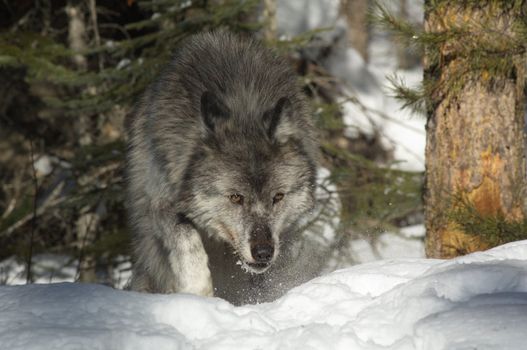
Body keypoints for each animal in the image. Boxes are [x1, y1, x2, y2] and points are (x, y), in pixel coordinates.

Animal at [126, 30, 320, 304]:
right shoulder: (160, 203)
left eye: (278, 197)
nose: (263, 252)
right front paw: (199, 295)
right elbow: (188, 241)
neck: (243, 107)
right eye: (235, 197)